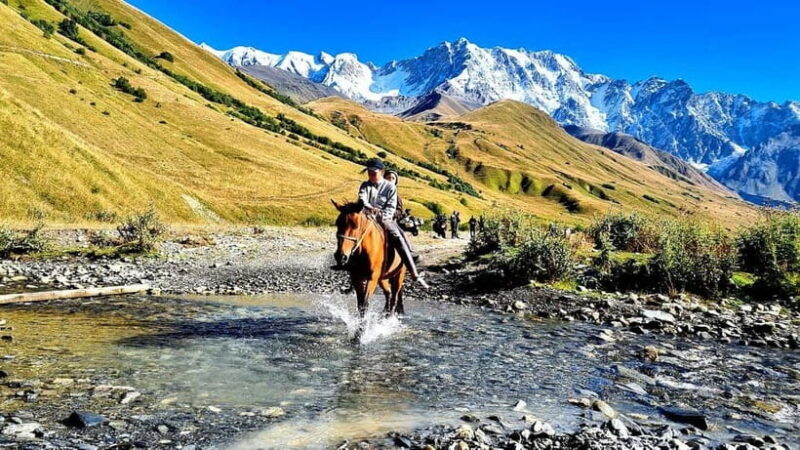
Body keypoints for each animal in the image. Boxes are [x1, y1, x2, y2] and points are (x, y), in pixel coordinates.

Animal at [331, 200, 407, 332]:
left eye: (355, 225)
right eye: (337, 224)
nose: (341, 256)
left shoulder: (372, 279)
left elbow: (365, 303)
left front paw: (361, 332)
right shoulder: (357, 278)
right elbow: (360, 304)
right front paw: (359, 329)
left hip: (399, 275)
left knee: (394, 297)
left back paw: (389, 320)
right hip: (382, 278)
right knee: (388, 293)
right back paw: (385, 314)